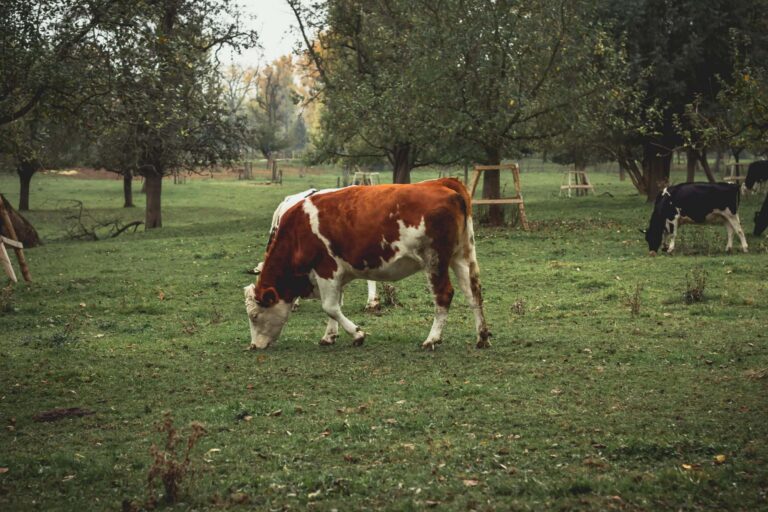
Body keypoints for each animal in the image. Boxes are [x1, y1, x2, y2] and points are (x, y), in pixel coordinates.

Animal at [244, 178, 491, 350]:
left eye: (254, 316)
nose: (254, 346)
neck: (297, 230)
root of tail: (443, 183)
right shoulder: (336, 274)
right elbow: (335, 306)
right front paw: (329, 336)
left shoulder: (326, 269)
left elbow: (330, 307)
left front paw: (357, 334)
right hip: (462, 256)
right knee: (473, 292)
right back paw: (482, 337)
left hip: (434, 260)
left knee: (444, 295)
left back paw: (432, 339)